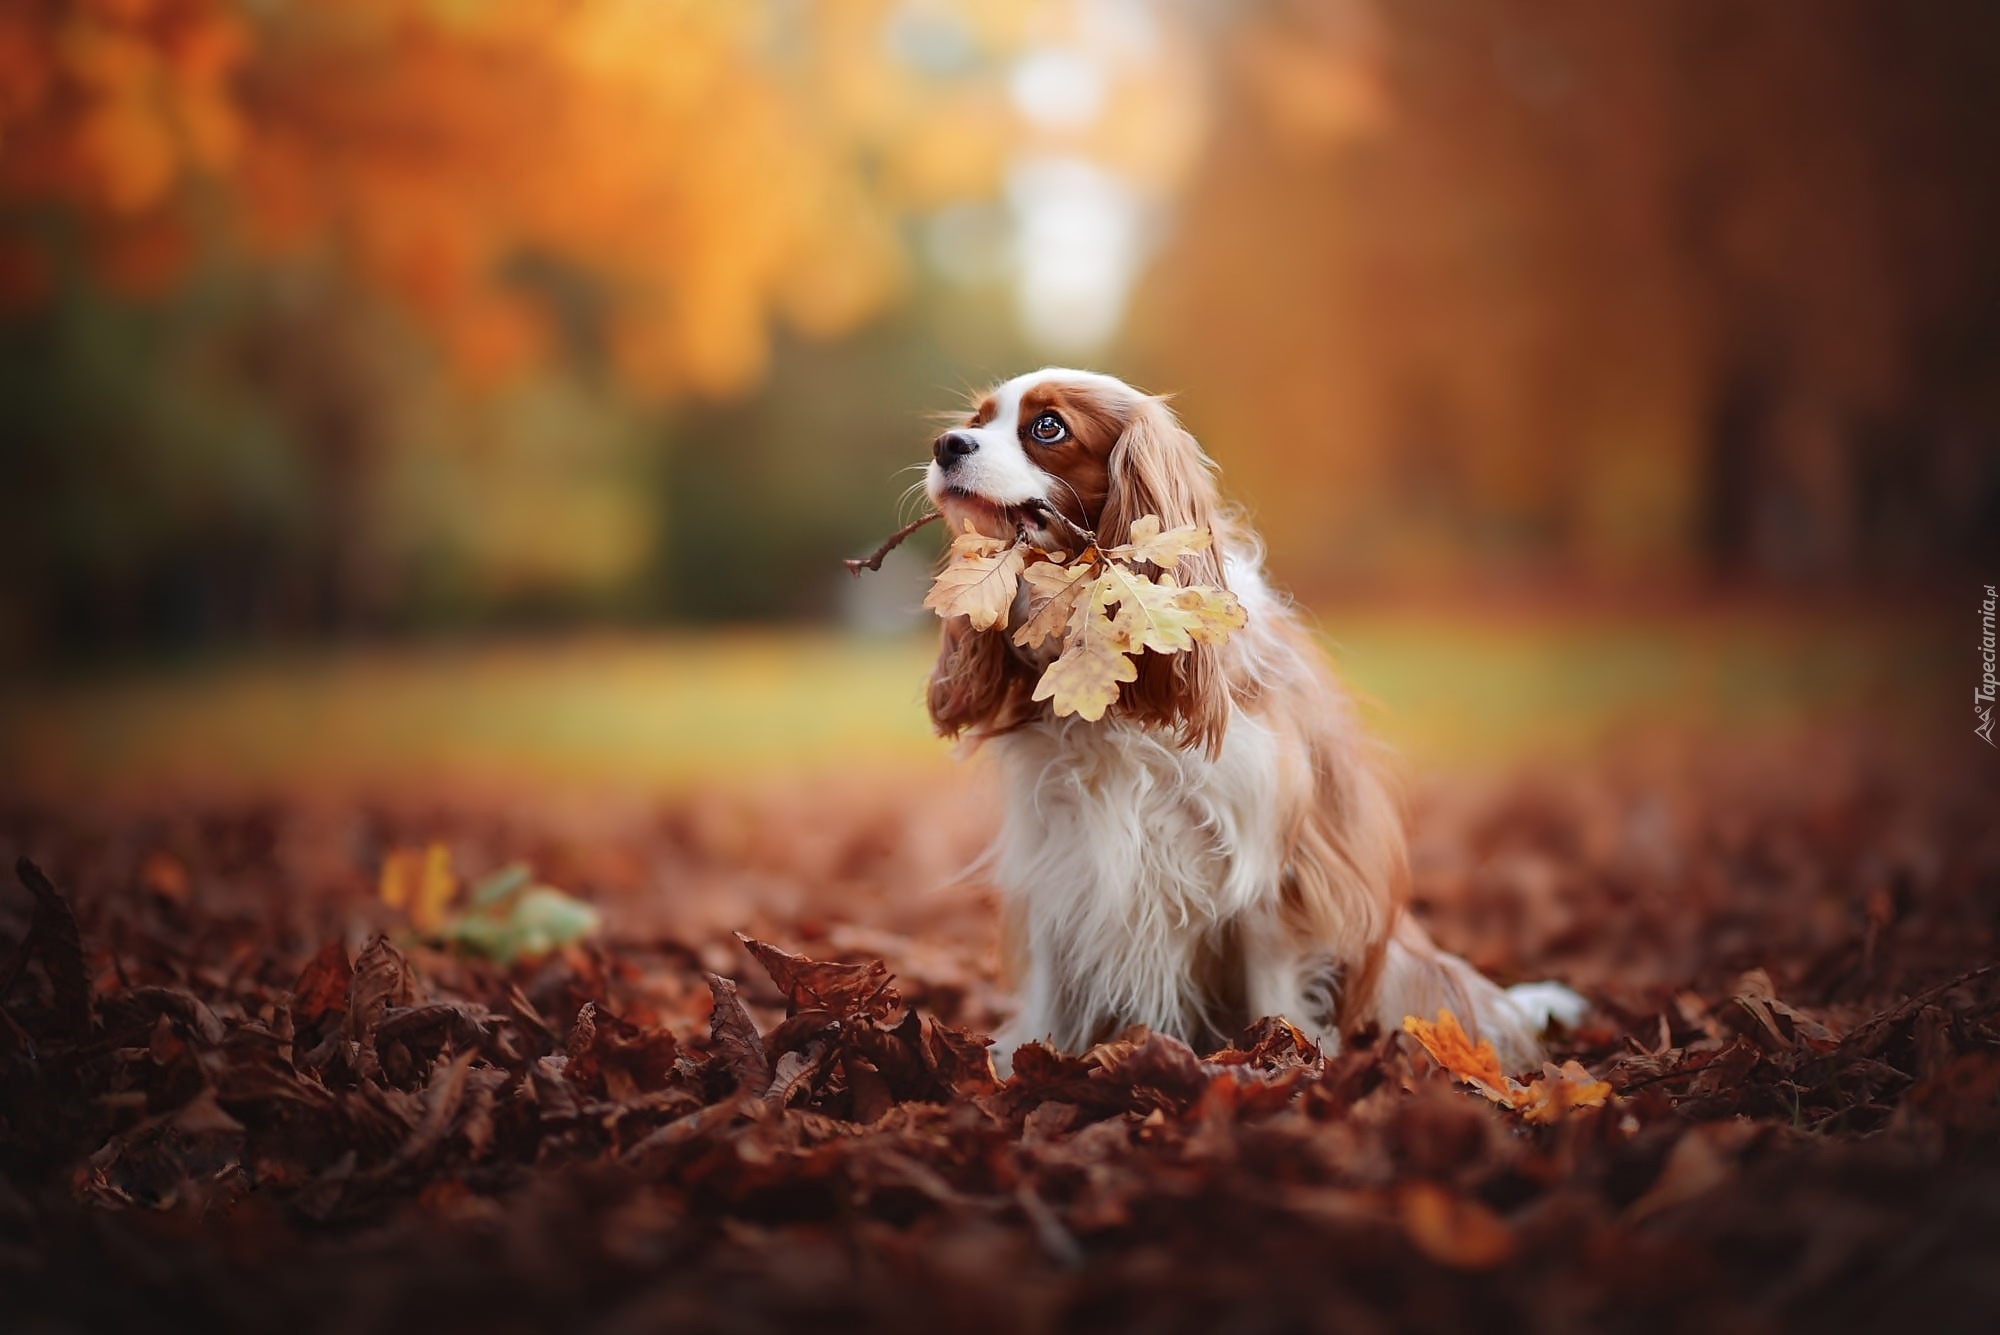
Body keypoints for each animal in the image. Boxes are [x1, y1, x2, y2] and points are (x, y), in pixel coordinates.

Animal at [916, 367, 1576, 1071]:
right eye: (978, 420)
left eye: (1047, 427)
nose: (947, 444)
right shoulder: (1058, 861)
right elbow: (1045, 989)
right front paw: (1016, 1065)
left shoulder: (1266, 868)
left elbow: (1276, 994)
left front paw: (1287, 1065)